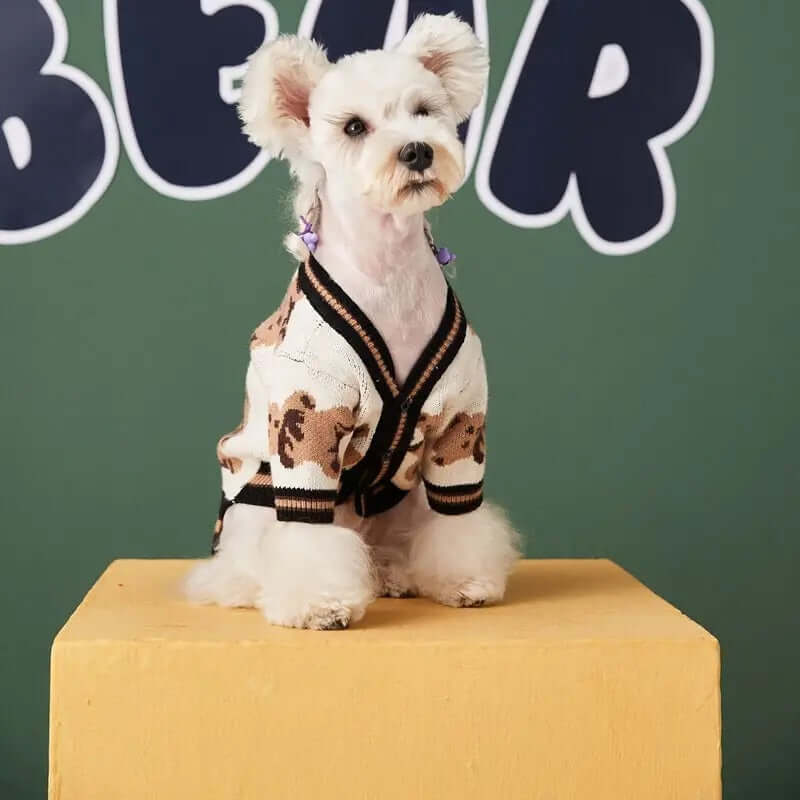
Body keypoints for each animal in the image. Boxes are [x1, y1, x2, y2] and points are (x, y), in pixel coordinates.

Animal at [188, 9, 524, 628]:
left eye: (425, 110)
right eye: (353, 127)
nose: (416, 151)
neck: (389, 271)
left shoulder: (459, 426)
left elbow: (459, 519)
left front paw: (466, 579)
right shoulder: (309, 426)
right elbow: (306, 536)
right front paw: (320, 605)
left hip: (405, 498)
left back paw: (392, 574)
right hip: (254, 498)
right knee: (241, 560)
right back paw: (246, 585)